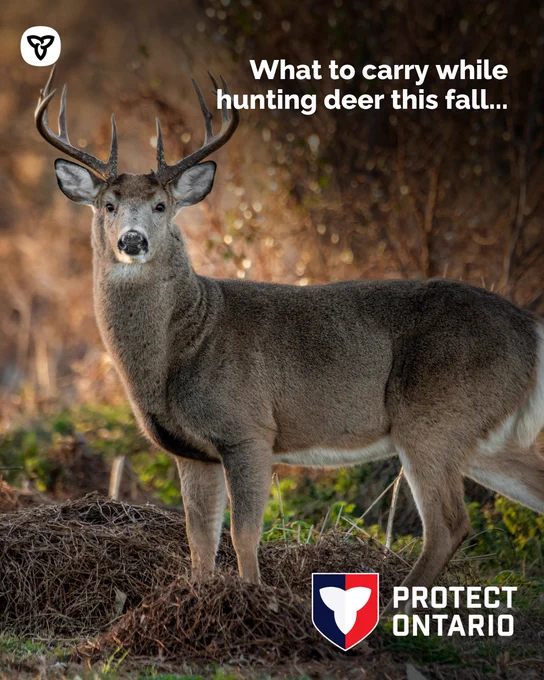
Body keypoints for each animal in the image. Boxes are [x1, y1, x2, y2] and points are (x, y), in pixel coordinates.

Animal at [35, 67, 544, 613]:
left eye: (161, 205)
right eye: (107, 205)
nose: (133, 240)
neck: (184, 345)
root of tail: (529, 328)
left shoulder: (249, 429)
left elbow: (243, 535)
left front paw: (255, 601)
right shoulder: (191, 450)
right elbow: (199, 541)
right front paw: (201, 600)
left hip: (434, 417)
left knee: (449, 525)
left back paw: (390, 612)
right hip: (483, 434)